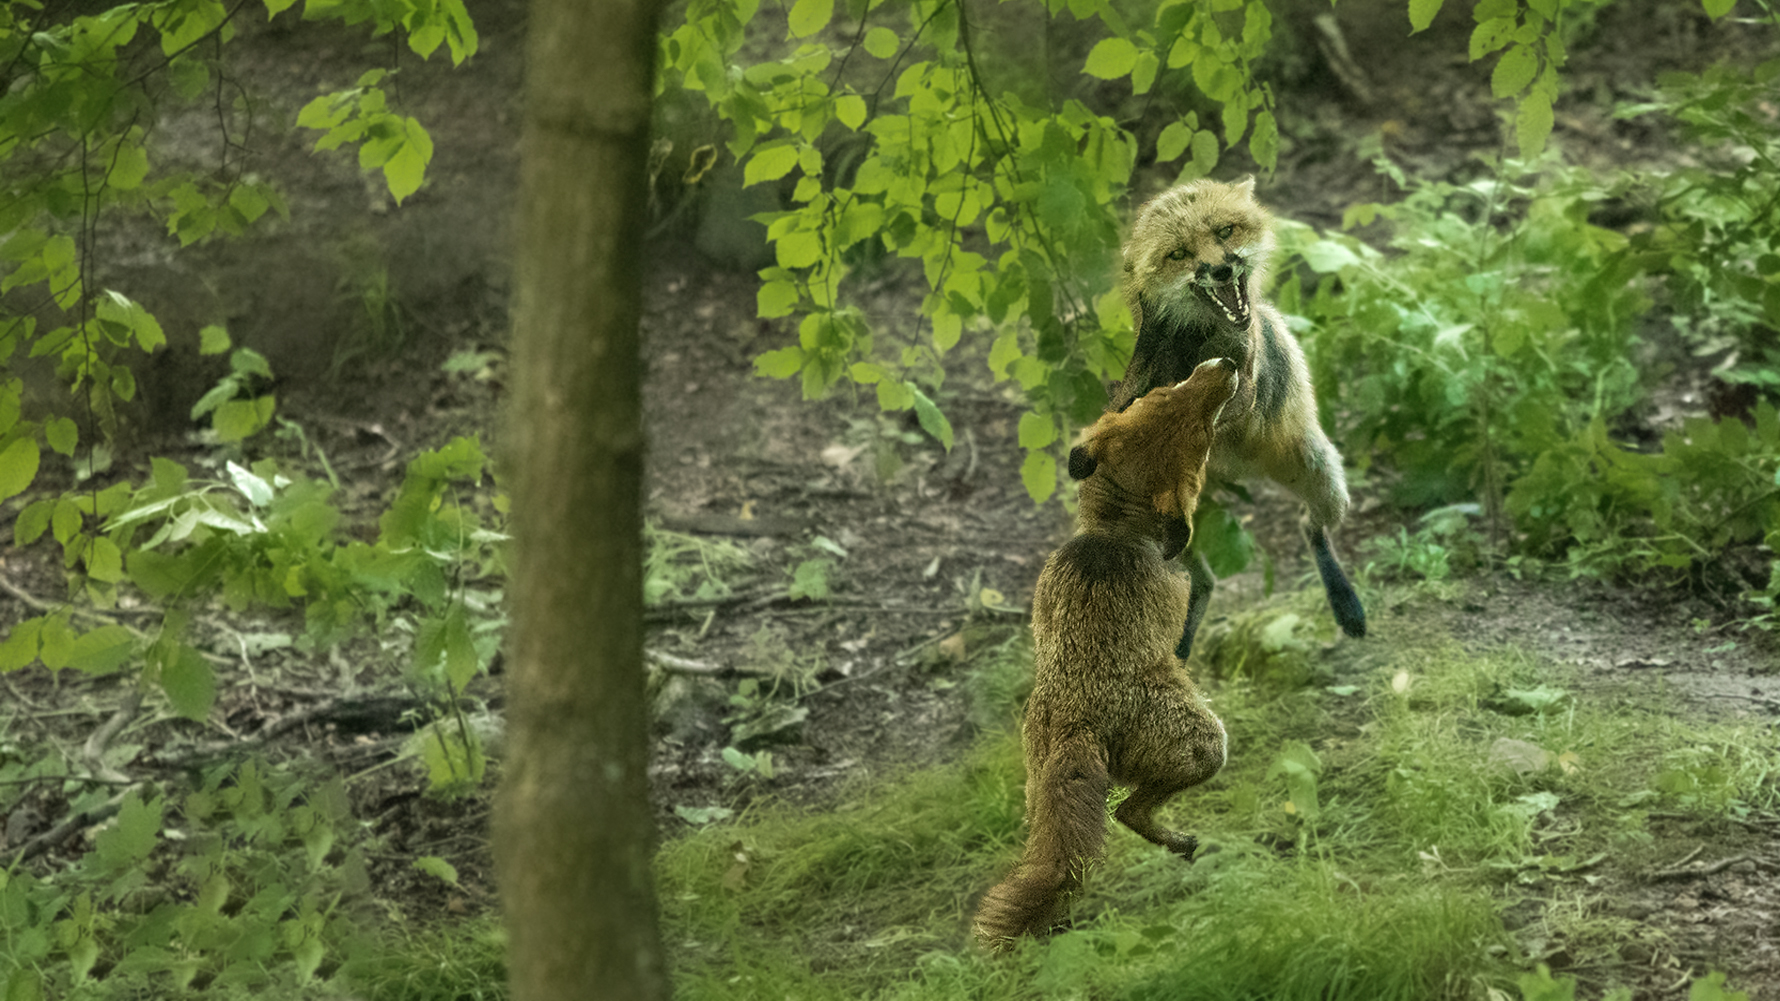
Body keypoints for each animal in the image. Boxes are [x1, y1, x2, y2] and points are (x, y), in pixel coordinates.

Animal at [975, 354, 1238, 947]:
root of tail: (1080, 721)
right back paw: (1182, 844)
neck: (1114, 532)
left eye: (1163, 393)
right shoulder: (1180, 594)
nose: (1227, 364)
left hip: (1035, 785)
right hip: (1206, 743)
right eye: (1205, 439)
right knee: (1128, 813)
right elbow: (1190, 615)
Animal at [1110, 176, 1359, 655]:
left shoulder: (1243, 379)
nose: (1222, 270)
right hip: (1163, 519)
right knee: (1203, 579)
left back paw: (1345, 601)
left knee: (1311, 527)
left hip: (1321, 476)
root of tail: (1239, 472)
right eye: (1179, 254)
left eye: (1225, 231)